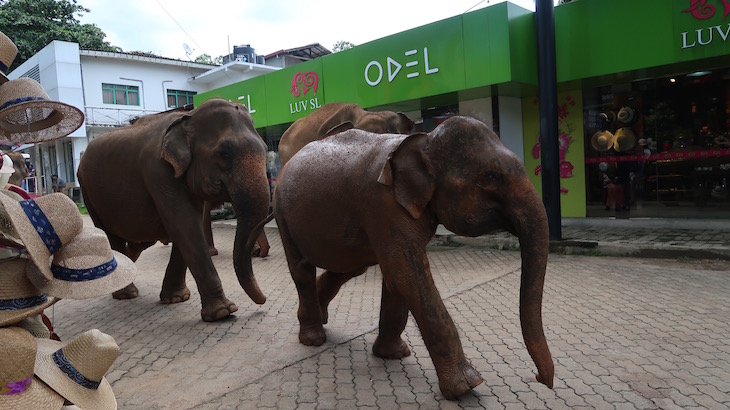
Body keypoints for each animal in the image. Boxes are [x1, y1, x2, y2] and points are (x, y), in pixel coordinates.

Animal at [77, 97, 270, 322]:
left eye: (265, 148)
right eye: (223, 153)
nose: (263, 301)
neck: (187, 118)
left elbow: (187, 227)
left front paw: (176, 299)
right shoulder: (158, 172)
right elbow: (185, 225)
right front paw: (223, 312)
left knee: (140, 240)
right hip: (89, 192)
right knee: (111, 236)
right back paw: (126, 293)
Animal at [272, 117, 552, 398]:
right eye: (490, 177)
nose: (540, 379)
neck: (424, 140)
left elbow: (397, 279)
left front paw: (394, 354)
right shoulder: (382, 205)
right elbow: (406, 276)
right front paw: (466, 386)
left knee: (350, 266)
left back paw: (321, 317)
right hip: (282, 211)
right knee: (302, 270)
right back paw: (312, 337)